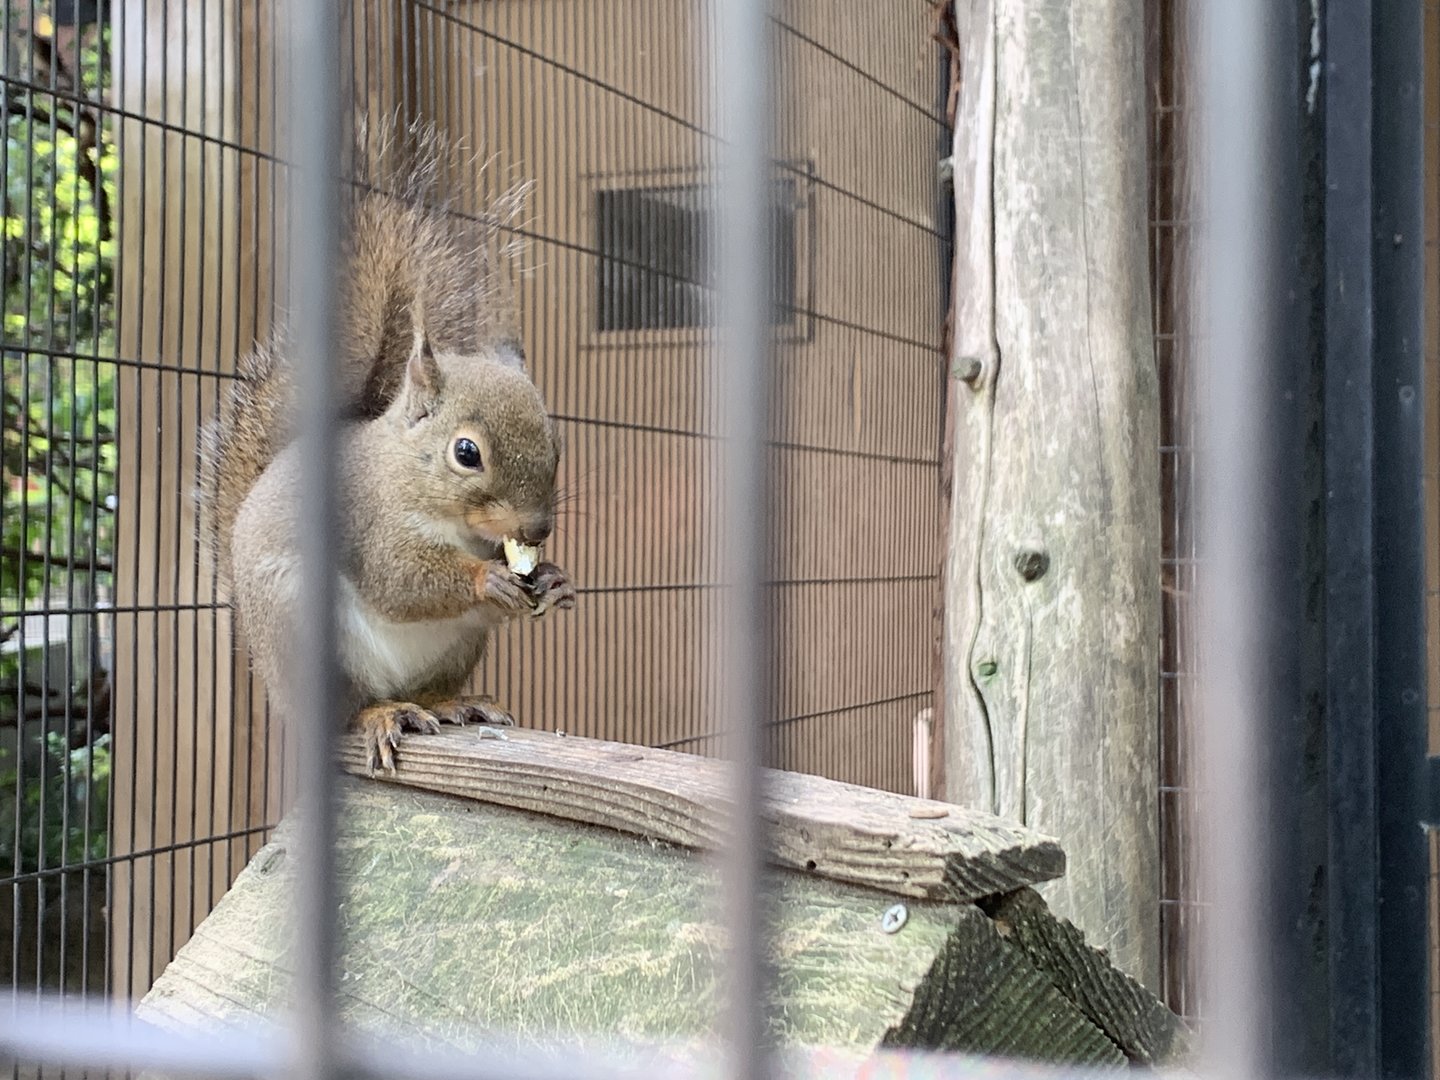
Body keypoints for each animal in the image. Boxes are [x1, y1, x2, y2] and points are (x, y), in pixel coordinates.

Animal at [198, 118, 574, 773]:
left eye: (557, 444)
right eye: (467, 453)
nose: (536, 531)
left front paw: (550, 579)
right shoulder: (368, 522)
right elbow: (401, 578)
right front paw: (489, 579)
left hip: (456, 646)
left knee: (428, 686)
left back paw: (453, 703)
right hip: (303, 630)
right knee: (347, 712)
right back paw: (380, 714)